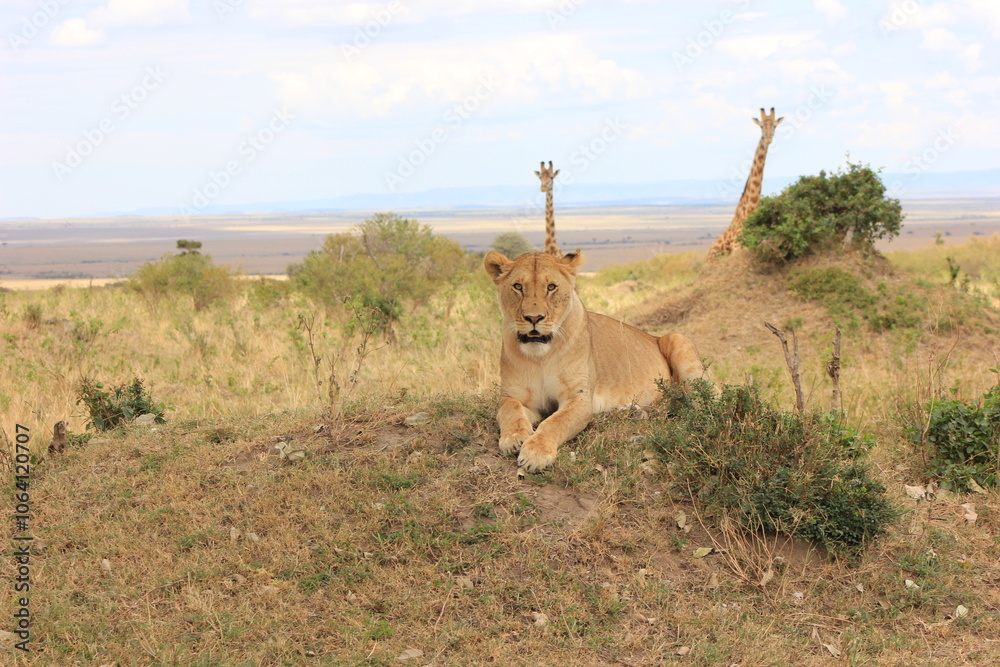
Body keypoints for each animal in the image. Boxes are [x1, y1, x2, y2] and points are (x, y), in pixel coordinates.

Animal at [484, 249, 708, 472]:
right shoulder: (513, 396)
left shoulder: (579, 398)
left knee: (697, 404)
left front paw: (535, 454)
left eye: (551, 287)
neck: (541, 356)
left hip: (677, 339)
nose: (534, 318)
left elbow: (555, 422)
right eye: (518, 287)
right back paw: (635, 411)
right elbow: (510, 411)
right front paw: (514, 439)